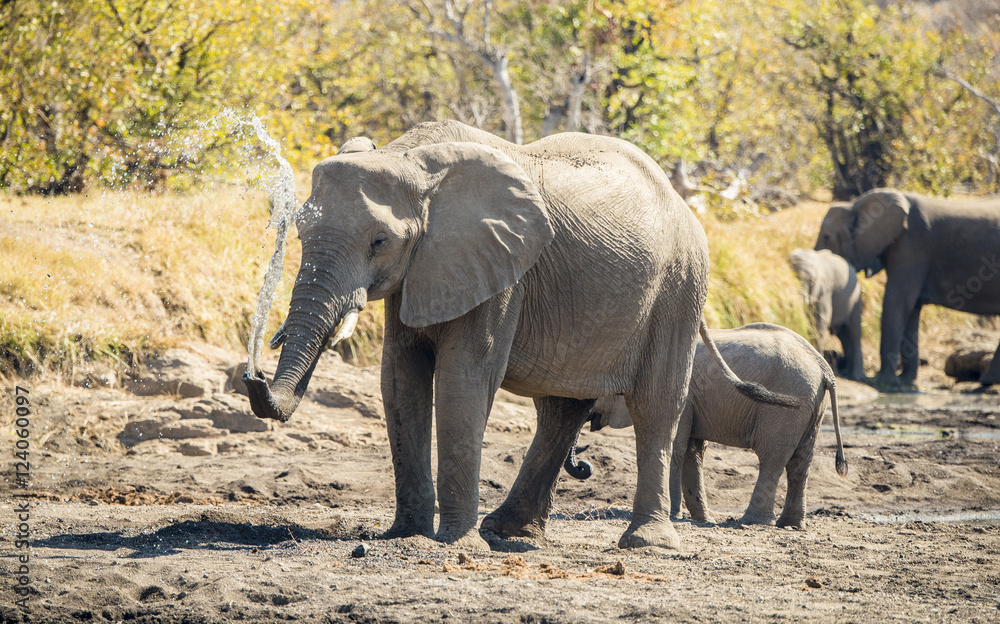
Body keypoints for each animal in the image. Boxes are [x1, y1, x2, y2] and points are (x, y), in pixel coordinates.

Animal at [243, 120, 796, 550]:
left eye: (379, 241)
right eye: (297, 232)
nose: (252, 375)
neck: (410, 158)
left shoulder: (501, 271)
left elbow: (463, 379)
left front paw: (454, 545)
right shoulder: (427, 268)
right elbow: (400, 379)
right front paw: (404, 536)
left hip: (680, 286)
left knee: (656, 405)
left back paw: (646, 543)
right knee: (561, 408)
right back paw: (509, 532)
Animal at [581, 323, 847, 528]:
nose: (585, 467)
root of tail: (824, 367)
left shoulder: (681, 398)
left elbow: (677, 448)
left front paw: (674, 515)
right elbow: (692, 452)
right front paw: (700, 518)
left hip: (785, 408)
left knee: (772, 458)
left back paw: (751, 522)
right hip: (811, 407)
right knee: (799, 463)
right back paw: (790, 525)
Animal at [787, 248, 864, 381]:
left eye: (811, 282)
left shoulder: (825, 290)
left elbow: (820, 319)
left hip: (855, 299)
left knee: (854, 332)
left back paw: (856, 376)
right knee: (843, 335)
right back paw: (846, 372)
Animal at [815, 188, 1000, 388]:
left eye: (826, 237)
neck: (856, 203)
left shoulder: (911, 245)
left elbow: (896, 302)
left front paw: (884, 383)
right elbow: (911, 309)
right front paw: (906, 382)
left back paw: (986, 381)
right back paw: (988, 380)